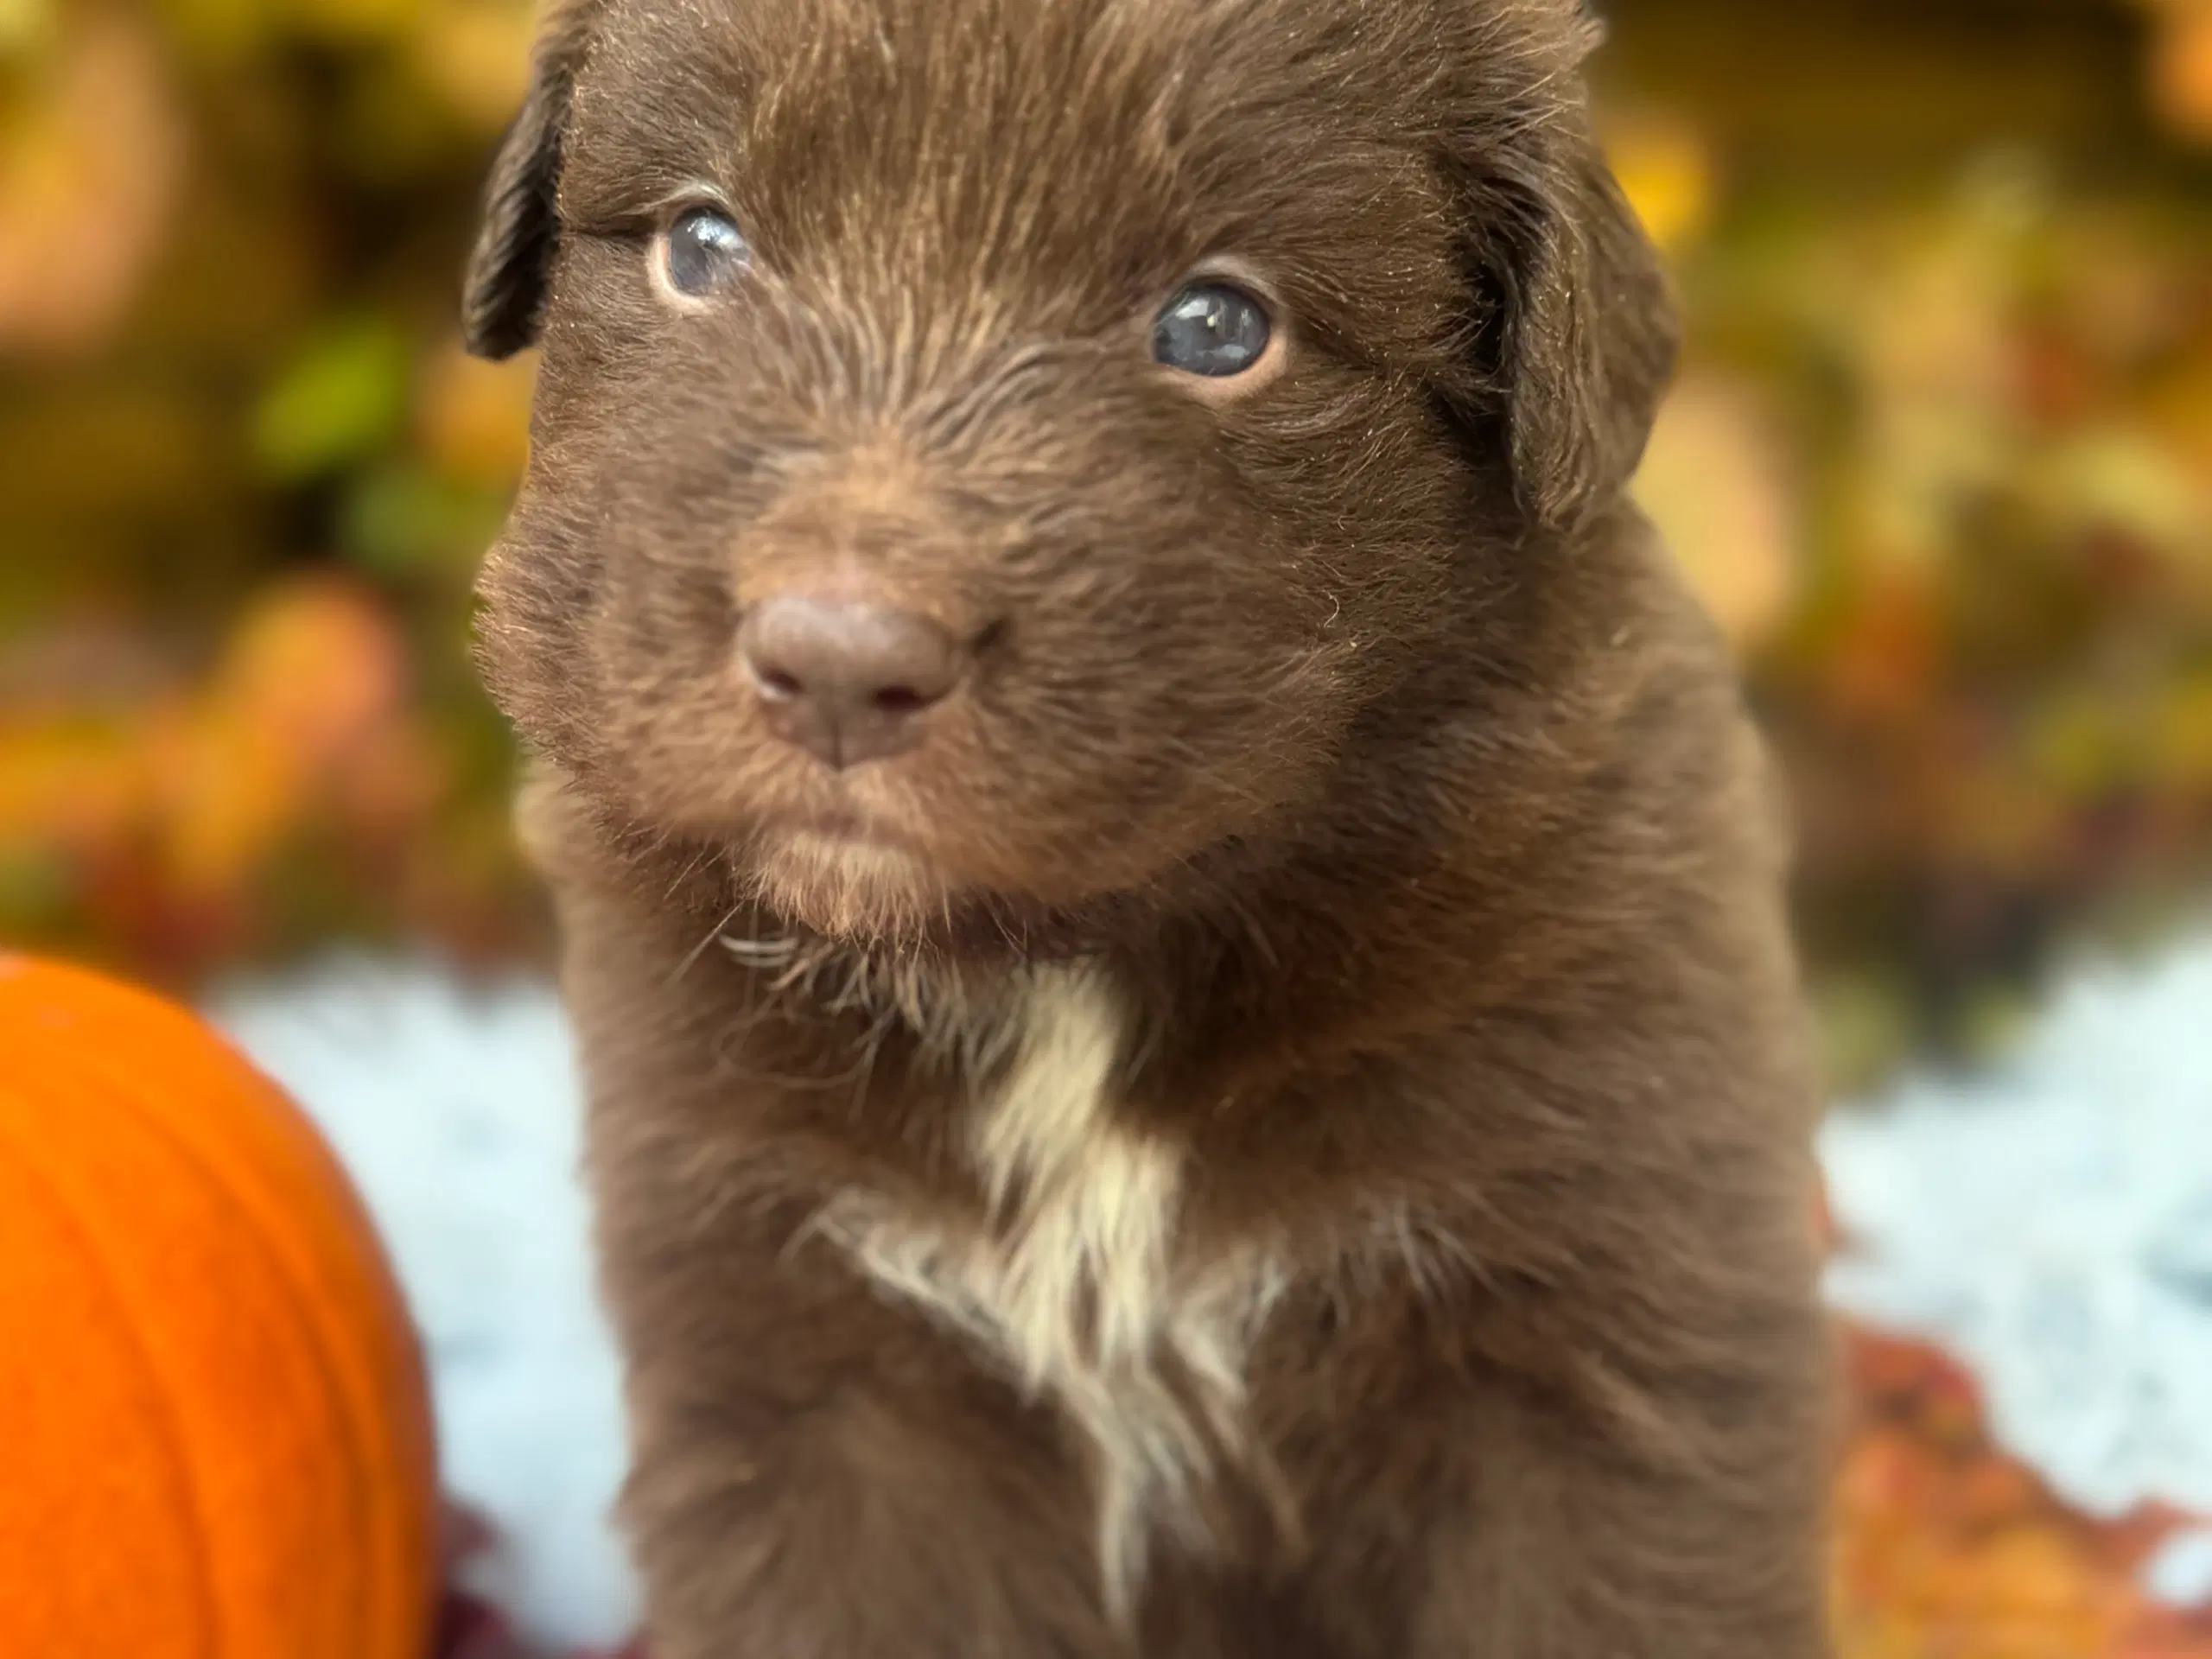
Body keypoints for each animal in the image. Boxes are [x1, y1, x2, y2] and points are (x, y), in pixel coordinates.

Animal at [462, 0, 1831, 1654]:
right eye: (702, 245)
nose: (842, 662)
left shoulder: (1595, 1324)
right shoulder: (801, 1356)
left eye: (1218, 329)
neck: (1071, 987)